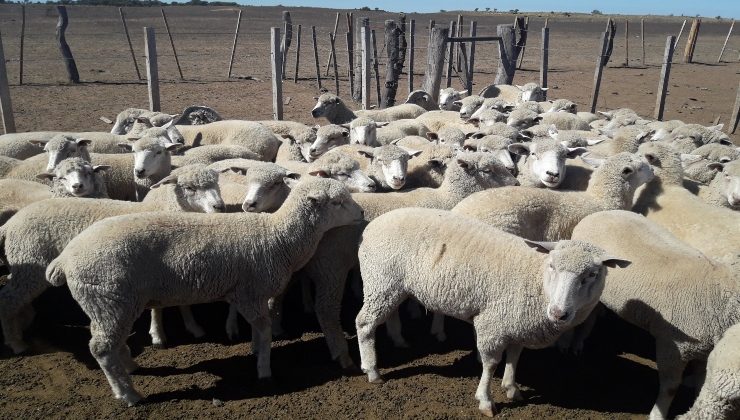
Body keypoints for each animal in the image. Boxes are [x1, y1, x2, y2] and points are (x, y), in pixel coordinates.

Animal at [0, 165, 227, 354]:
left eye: (216, 183)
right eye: (189, 187)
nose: (219, 207)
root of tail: (11, 223)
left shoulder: (181, 265)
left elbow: (184, 302)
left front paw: (193, 327)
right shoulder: (157, 269)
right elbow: (158, 309)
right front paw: (157, 336)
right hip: (30, 262)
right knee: (8, 299)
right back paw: (16, 343)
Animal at [43, 176, 362, 404]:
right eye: (337, 202)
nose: (360, 212)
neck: (278, 235)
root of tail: (65, 258)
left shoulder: (245, 293)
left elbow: (257, 330)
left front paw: (254, 350)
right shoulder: (251, 291)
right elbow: (264, 329)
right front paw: (264, 369)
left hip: (108, 303)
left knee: (109, 341)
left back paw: (130, 366)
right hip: (109, 297)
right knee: (101, 348)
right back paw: (128, 394)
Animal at [356, 210, 628, 416]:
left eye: (592, 275)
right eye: (552, 265)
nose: (558, 313)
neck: (536, 279)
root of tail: (372, 226)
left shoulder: (518, 324)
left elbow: (515, 357)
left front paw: (511, 387)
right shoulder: (493, 323)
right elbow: (491, 363)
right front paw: (486, 401)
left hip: (391, 285)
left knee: (390, 314)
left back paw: (398, 340)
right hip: (380, 279)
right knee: (364, 323)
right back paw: (372, 370)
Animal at [572, 210, 740, 420]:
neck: (720, 292)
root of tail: (597, 214)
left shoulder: (705, 349)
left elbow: (702, 381)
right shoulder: (672, 345)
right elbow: (670, 387)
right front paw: (657, 414)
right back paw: (578, 341)